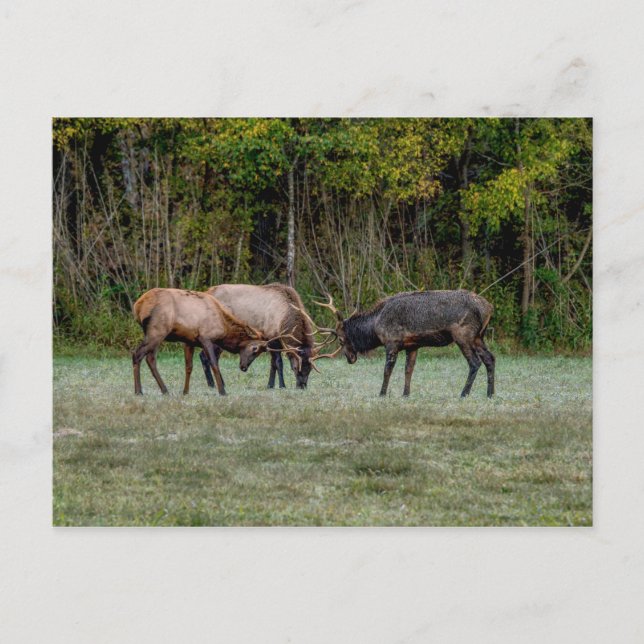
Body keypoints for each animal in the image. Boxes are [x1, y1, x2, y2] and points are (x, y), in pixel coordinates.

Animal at [132, 287, 269, 396]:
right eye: (254, 349)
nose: (244, 367)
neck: (223, 329)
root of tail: (138, 306)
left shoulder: (189, 341)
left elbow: (188, 367)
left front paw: (185, 391)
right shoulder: (206, 338)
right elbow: (214, 363)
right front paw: (222, 391)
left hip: (155, 333)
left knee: (150, 358)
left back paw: (164, 390)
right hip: (157, 331)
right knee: (137, 353)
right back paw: (139, 391)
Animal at [199, 283, 332, 390]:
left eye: (310, 369)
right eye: (295, 368)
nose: (302, 386)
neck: (282, 320)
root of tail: (207, 292)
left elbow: (272, 364)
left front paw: (270, 385)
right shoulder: (271, 337)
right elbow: (278, 363)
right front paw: (282, 385)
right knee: (205, 356)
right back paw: (212, 384)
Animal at [315, 290, 495, 398]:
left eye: (341, 339)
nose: (350, 358)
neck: (375, 326)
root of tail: (487, 308)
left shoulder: (391, 342)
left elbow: (387, 370)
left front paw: (382, 393)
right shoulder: (412, 345)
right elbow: (408, 370)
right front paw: (405, 394)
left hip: (463, 335)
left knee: (475, 362)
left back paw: (464, 393)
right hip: (478, 337)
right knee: (490, 358)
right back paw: (490, 393)